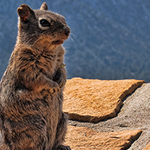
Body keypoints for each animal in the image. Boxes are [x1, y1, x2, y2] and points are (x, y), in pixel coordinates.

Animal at [0, 2, 71, 150]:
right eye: (44, 22)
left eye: (63, 17)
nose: (68, 31)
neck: (49, 49)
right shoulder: (26, 68)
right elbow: (39, 79)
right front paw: (54, 86)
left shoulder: (60, 60)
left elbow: (62, 71)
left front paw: (61, 81)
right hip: (37, 130)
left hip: (63, 121)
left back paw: (61, 146)